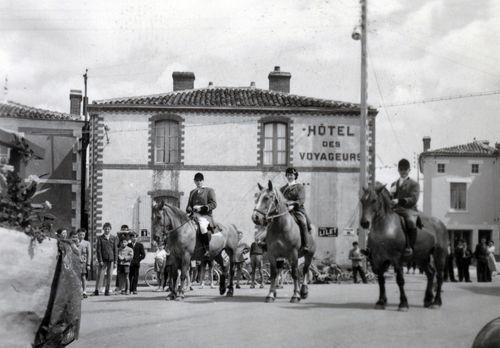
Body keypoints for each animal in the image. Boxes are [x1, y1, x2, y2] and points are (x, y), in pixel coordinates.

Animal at [360, 182, 450, 310]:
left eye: (374, 200)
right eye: (362, 200)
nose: (364, 223)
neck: (385, 229)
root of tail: (441, 224)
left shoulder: (397, 259)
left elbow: (400, 280)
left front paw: (403, 303)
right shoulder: (378, 259)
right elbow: (381, 280)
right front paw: (381, 302)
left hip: (439, 255)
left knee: (439, 276)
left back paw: (436, 302)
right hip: (421, 257)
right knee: (430, 273)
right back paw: (428, 300)